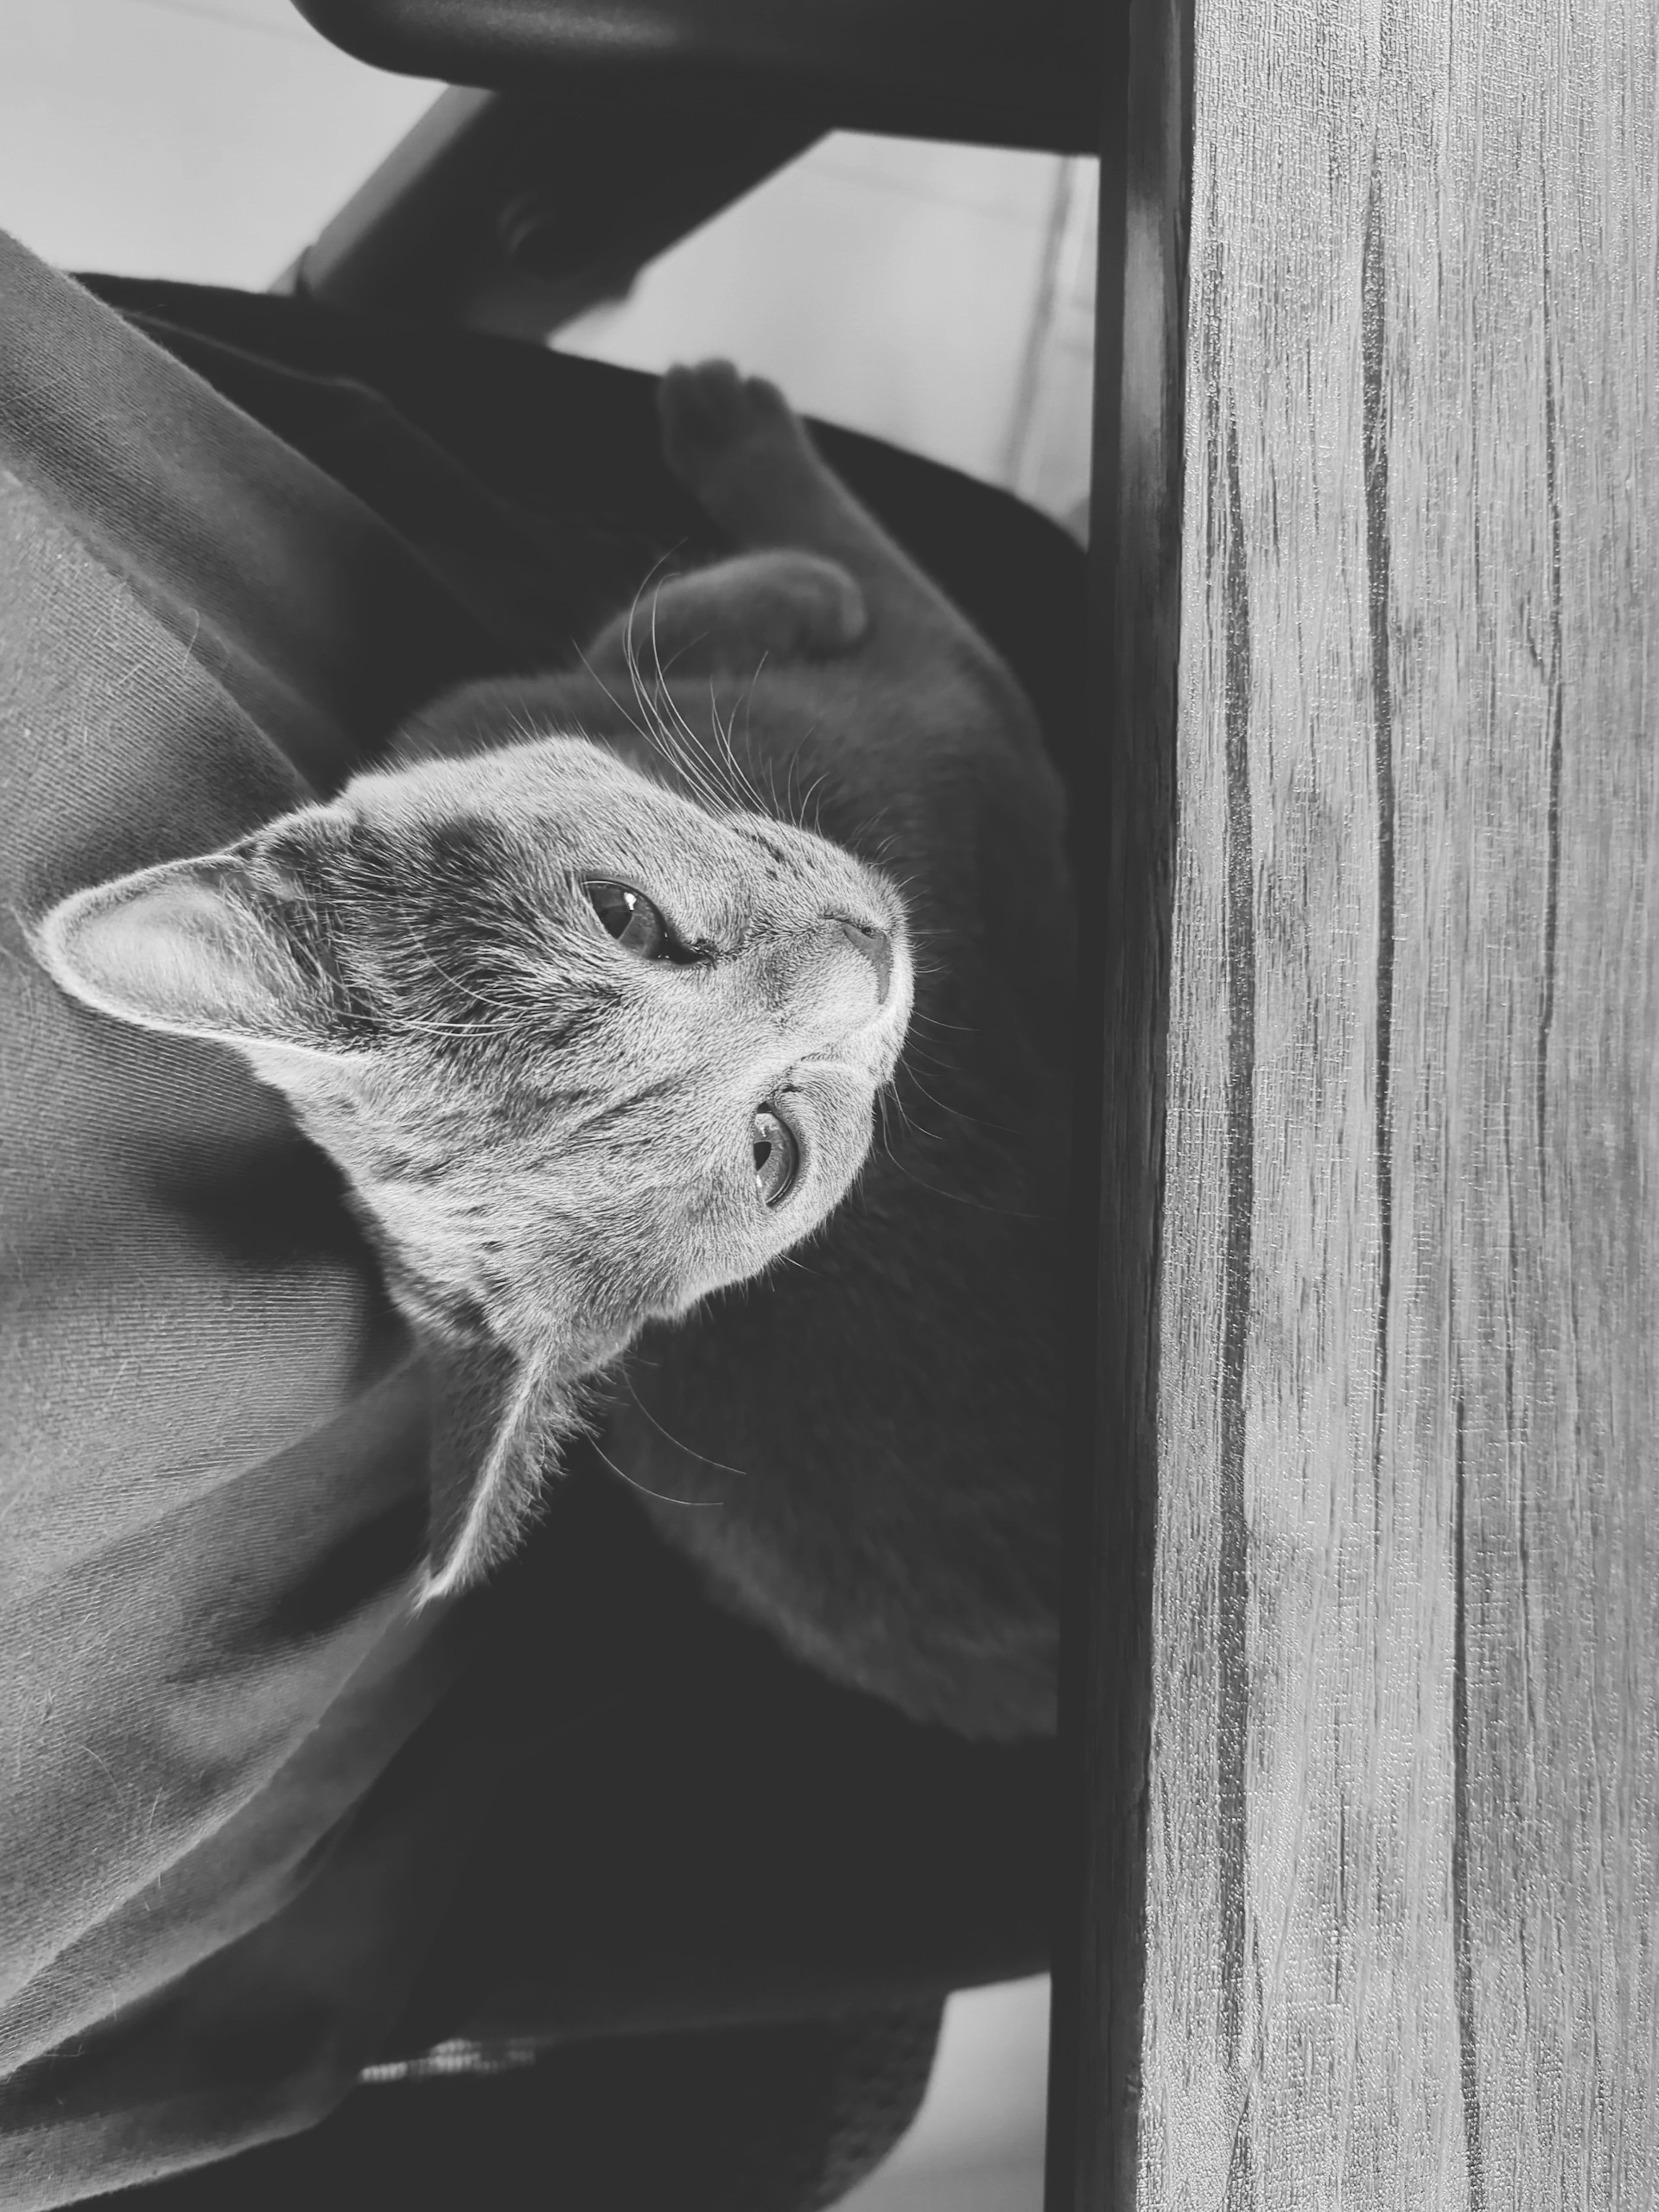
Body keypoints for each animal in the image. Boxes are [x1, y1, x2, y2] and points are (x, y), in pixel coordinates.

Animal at [42, 362, 1079, 1743]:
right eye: (773, 1151)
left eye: (620, 915)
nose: (871, 958)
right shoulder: (962, 705)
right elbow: (847, 557)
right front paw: (753, 471)